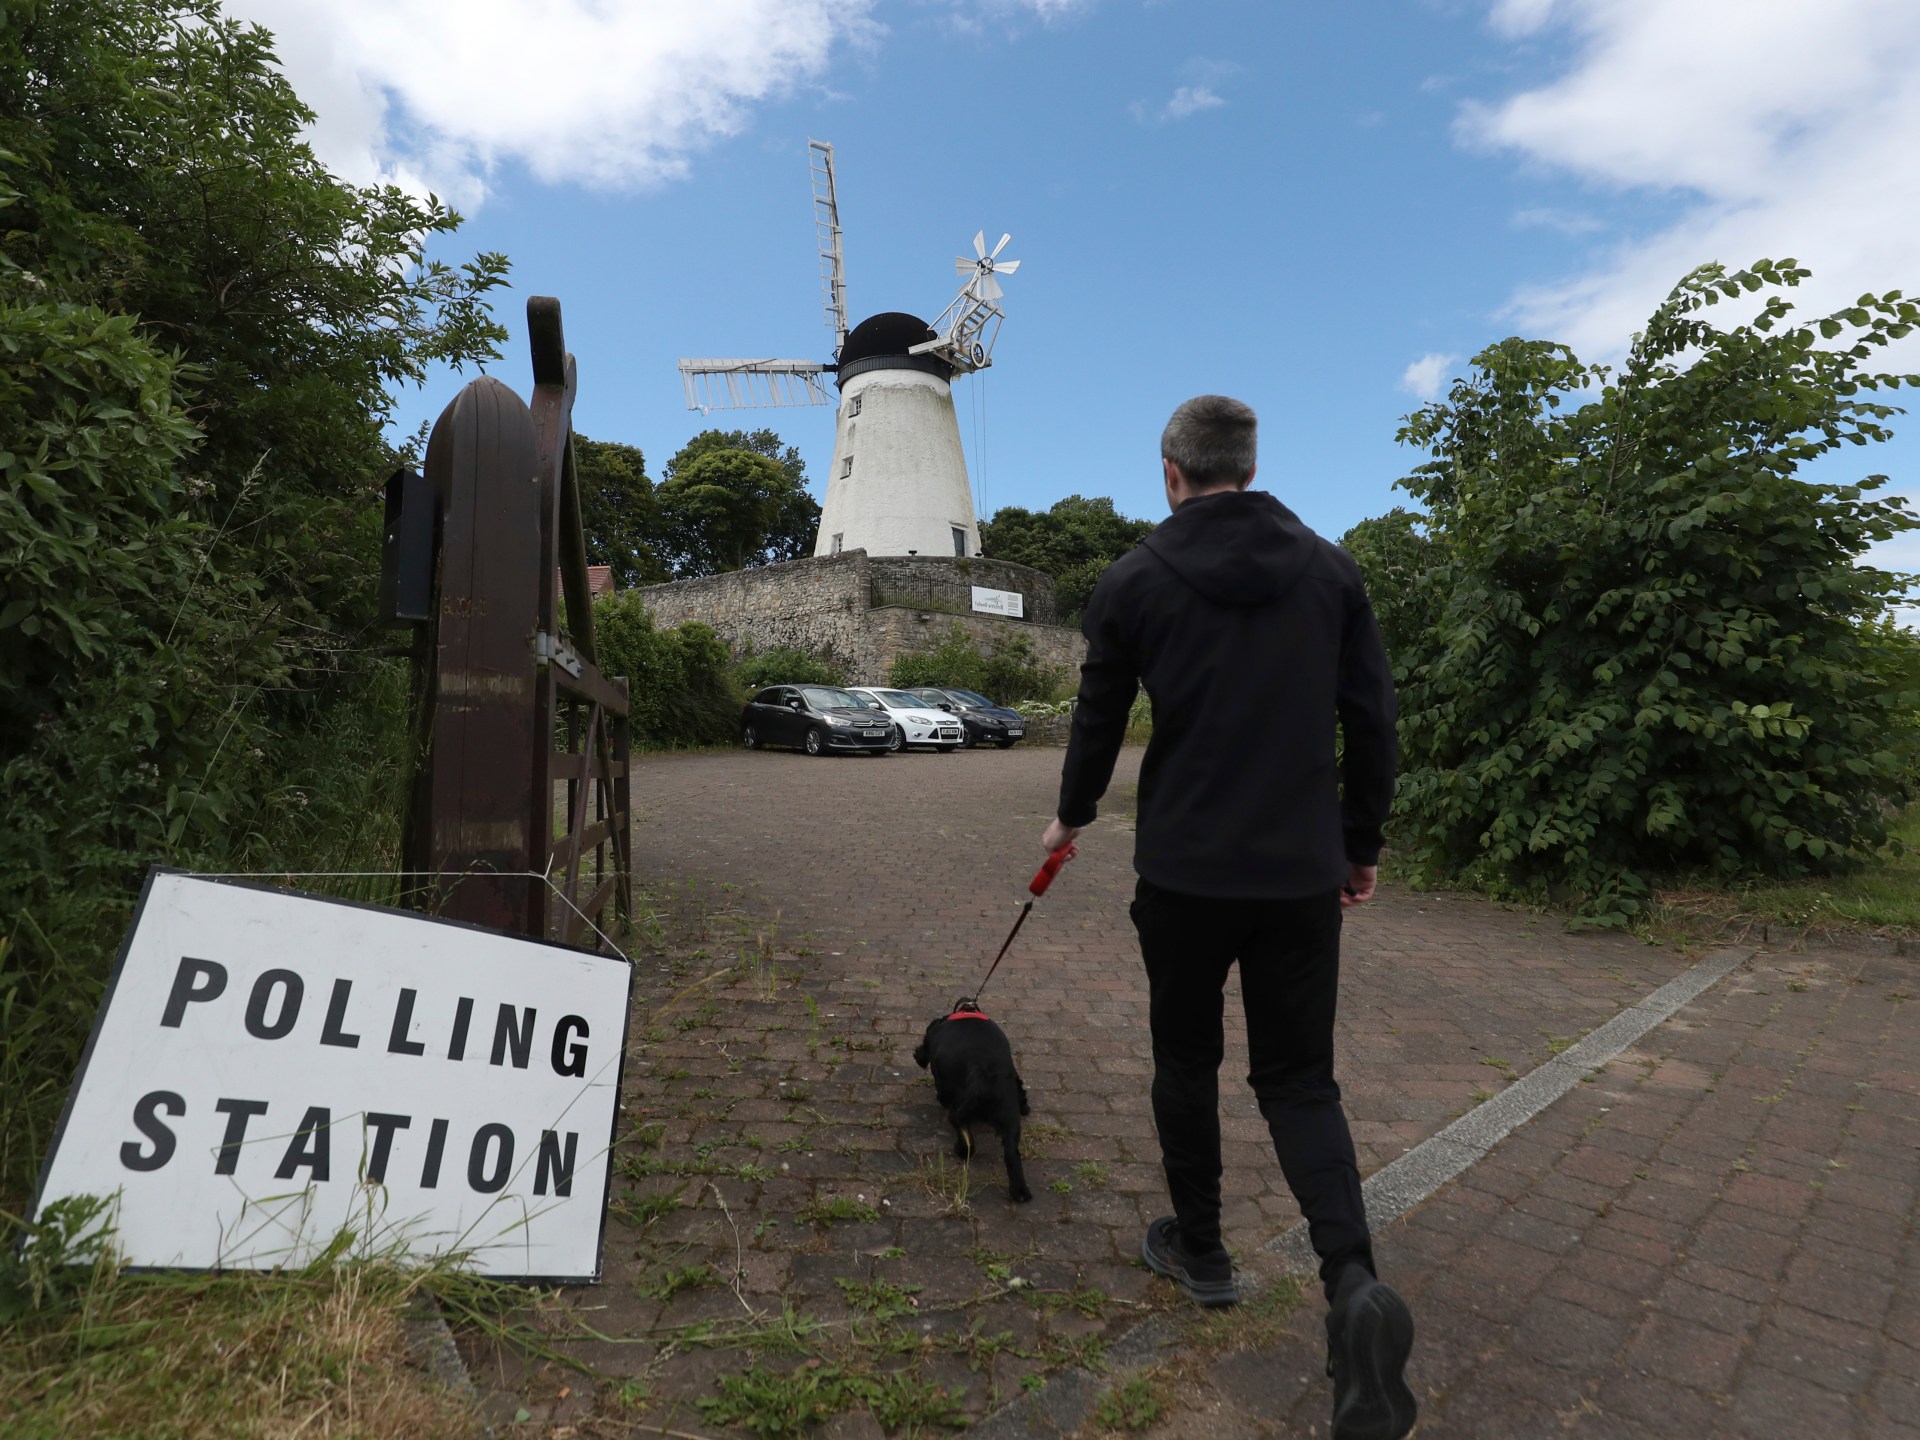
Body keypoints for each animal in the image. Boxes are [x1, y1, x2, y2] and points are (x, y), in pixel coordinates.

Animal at [913, 1006, 1036, 1205]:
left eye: (924, 1040)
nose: (916, 1054)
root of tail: (985, 1078)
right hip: (1010, 1119)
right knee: (1011, 1153)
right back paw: (1020, 1191)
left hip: (958, 1110)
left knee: (964, 1133)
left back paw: (962, 1150)